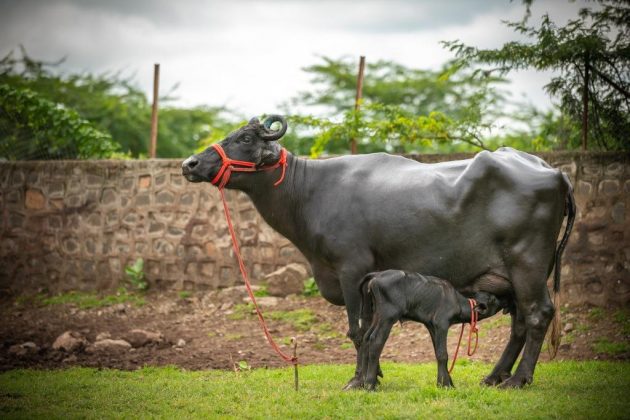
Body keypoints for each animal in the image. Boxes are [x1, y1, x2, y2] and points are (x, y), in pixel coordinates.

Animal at [183, 114, 576, 388]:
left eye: (245, 138)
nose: (190, 164)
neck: (308, 192)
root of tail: (554, 172)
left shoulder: (351, 269)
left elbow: (357, 330)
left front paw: (358, 379)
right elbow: (372, 329)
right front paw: (375, 374)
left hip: (527, 264)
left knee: (538, 314)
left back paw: (518, 380)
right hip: (511, 276)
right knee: (520, 321)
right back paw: (495, 376)